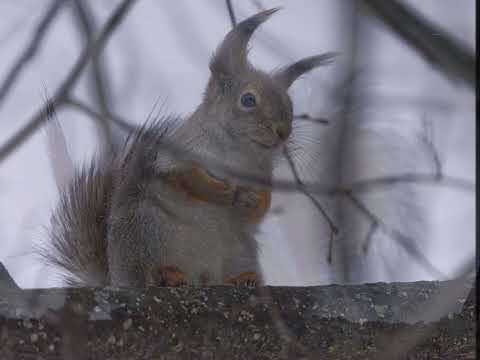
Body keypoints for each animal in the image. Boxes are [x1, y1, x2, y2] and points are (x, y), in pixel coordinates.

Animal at [41, 8, 336, 288]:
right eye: (248, 100)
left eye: (289, 104)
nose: (283, 132)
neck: (240, 153)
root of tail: (118, 278)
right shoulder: (174, 153)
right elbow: (183, 176)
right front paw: (218, 190)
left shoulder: (261, 175)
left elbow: (260, 209)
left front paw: (251, 200)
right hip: (147, 229)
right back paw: (165, 276)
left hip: (239, 250)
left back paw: (242, 278)